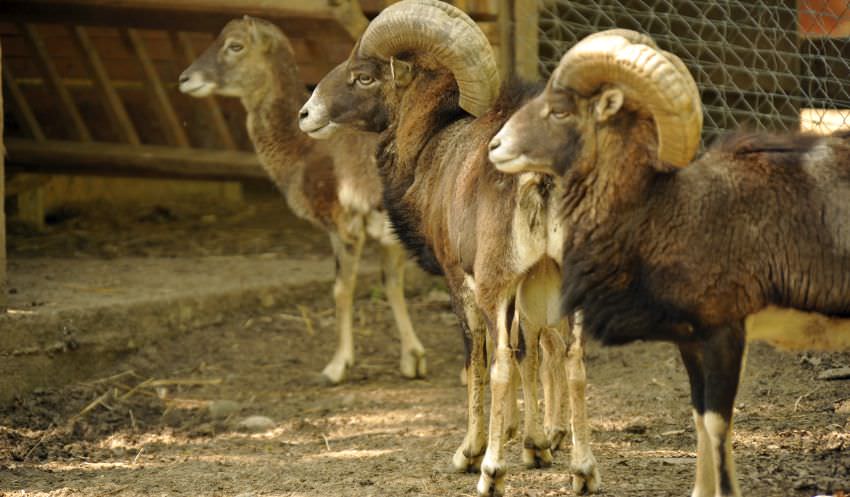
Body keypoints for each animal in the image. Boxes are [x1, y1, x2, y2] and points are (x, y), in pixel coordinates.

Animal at [177, 17, 424, 384]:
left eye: (235, 45)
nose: (186, 79)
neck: (306, 151)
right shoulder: (387, 239)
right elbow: (393, 285)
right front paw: (413, 361)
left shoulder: (344, 226)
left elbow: (342, 289)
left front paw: (336, 368)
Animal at [486, 28, 848, 496]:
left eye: (560, 110)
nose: (495, 146)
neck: (664, 212)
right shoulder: (691, 342)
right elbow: (700, 419)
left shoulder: (724, 335)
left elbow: (717, 426)